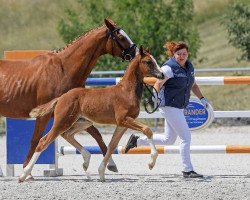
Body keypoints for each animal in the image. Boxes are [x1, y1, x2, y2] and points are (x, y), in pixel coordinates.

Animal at [19, 45, 164, 183]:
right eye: (148, 61)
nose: (162, 75)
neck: (126, 91)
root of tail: (61, 97)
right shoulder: (123, 119)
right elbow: (147, 129)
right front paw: (151, 163)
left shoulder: (122, 124)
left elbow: (111, 146)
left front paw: (101, 173)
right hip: (62, 122)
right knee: (43, 141)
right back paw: (24, 175)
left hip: (82, 122)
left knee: (67, 135)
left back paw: (86, 160)